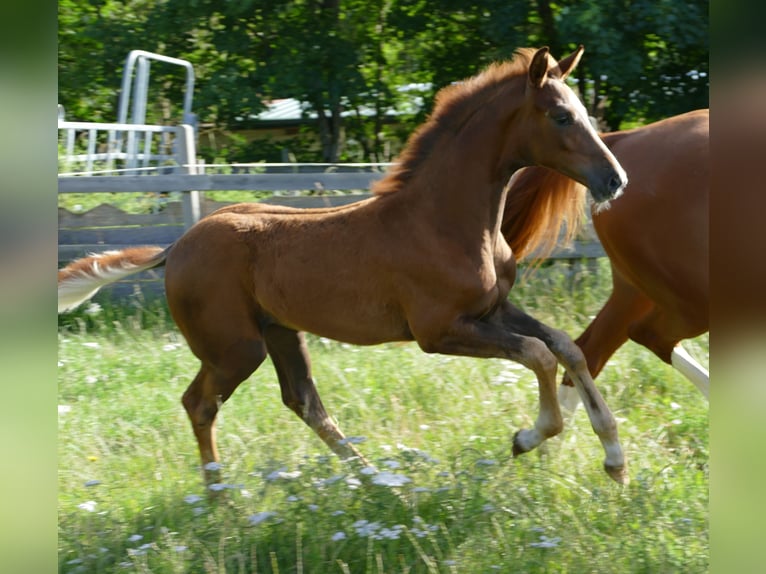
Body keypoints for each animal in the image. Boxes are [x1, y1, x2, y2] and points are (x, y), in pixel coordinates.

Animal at [60, 47, 632, 484]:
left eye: (584, 112)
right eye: (561, 116)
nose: (615, 180)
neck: (444, 220)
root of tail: (176, 246)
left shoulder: (492, 310)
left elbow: (566, 346)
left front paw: (615, 459)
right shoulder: (439, 331)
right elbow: (539, 354)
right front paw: (527, 437)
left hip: (280, 333)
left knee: (303, 402)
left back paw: (375, 479)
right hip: (234, 349)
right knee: (200, 404)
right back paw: (219, 497)